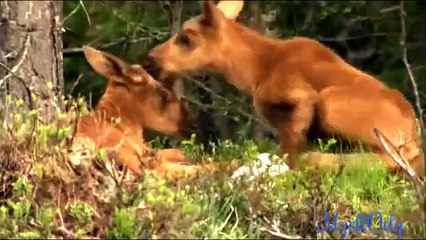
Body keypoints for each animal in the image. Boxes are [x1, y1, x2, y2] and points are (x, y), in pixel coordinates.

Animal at [142, 0, 422, 176]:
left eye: (187, 39)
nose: (151, 60)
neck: (254, 72)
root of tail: (413, 134)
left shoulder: (301, 98)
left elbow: (288, 153)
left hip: (332, 104)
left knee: (392, 160)